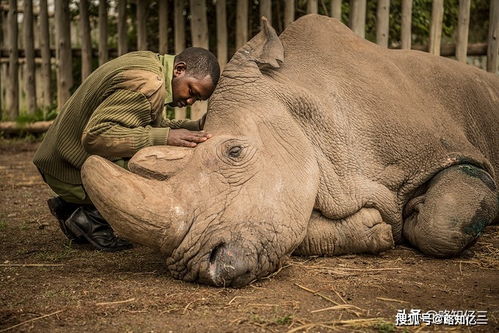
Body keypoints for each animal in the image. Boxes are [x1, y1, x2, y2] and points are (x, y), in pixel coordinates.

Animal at [80, 14, 498, 286]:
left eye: (235, 152)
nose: (198, 268)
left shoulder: (452, 153)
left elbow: (441, 223)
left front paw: (415, 214)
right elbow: (296, 229)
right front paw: (376, 229)